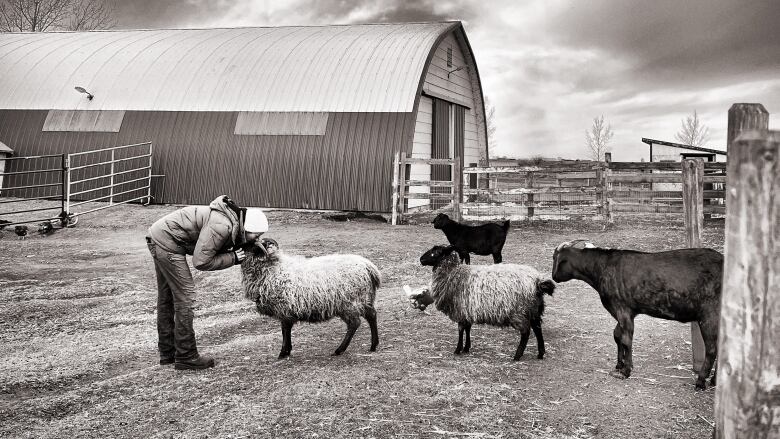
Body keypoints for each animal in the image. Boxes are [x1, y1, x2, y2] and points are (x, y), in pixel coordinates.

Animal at [241, 239, 380, 360]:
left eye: (249, 245)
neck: (273, 269)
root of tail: (369, 267)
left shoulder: (284, 308)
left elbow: (285, 330)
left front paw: (283, 352)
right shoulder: (286, 310)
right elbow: (286, 329)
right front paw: (287, 351)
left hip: (349, 303)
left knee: (354, 323)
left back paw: (339, 349)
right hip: (364, 298)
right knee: (372, 315)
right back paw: (373, 345)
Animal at [418, 244, 556, 360]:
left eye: (435, 252)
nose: (421, 259)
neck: (453, 273)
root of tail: (538, 281)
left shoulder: (460, 310)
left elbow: (461, 330)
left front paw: (458, 349)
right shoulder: (468, 310)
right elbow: (468, 329)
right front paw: (467, 348)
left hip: (519, 311)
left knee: (526, 332)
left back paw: (517, 355)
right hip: (533, 309)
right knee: (537, 328)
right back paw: (540, 353)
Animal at [552, 241, 724, 392]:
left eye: (555, 258)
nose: (553, 277)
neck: (602, 267)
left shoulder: (622, 308)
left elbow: (626, 339)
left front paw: (625, 371)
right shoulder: (628, 312)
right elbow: (617, 335)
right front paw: (620, 364)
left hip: (709, 315)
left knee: (712, 349)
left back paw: (701, 381)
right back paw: (715, 380)